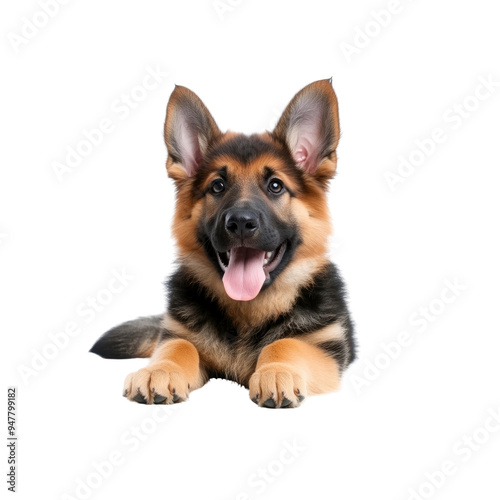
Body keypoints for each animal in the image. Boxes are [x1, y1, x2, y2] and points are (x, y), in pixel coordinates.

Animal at [91, 78, 356, 406]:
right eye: (217, 186)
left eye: (276, 186)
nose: (240, 222)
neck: (248, 311)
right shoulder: (178, 334)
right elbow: (179, 346)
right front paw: (160, 370)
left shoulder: (325, 351)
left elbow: (286, 344)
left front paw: (276, 372)